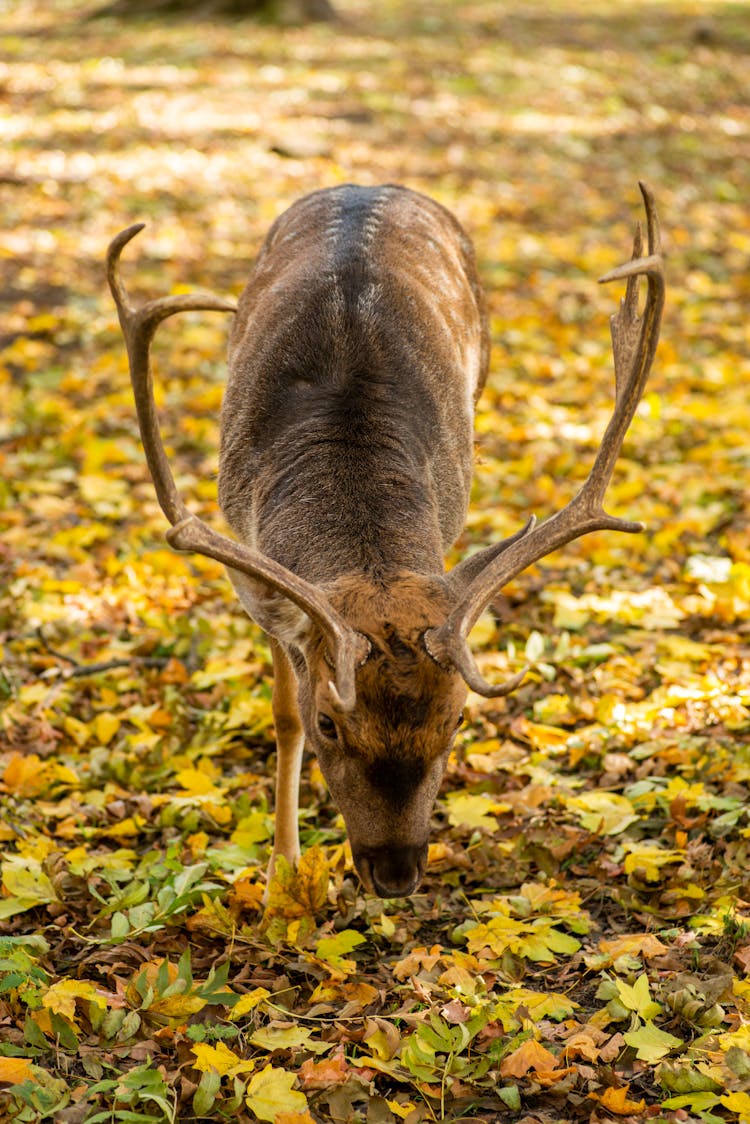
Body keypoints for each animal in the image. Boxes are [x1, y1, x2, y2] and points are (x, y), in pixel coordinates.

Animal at [105, 186, 661, 903]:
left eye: (456, 721)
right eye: (329, 723)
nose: (396, 874)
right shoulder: (261, 585)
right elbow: (281, 715)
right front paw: (281, 876)